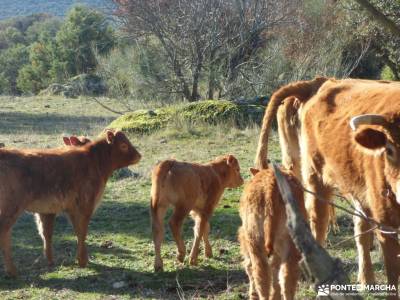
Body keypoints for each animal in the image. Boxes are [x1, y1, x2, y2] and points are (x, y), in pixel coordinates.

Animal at [0, 130, 141, 276]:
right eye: (124, 145)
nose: (139, 156)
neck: (94, 162)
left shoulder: (53, 210)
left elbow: (50, 233)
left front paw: (52, 261)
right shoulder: (85, 206)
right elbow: (82, 232)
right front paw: (83, 261)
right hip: (12, 207)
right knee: (4, 233)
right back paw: (12, 270)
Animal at [256, 78, 400, 298]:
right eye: (390, 150)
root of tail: (321, 82)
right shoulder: (386, 222)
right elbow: (394, 274)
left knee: (360, 228)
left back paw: (367, 280)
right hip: (315, 177)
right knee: (317, 223)